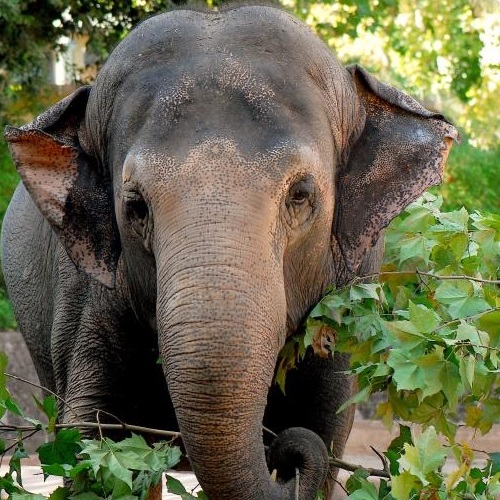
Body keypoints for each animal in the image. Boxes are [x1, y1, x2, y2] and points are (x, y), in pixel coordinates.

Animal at [2, 4, 458, 500]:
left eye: (301, 194)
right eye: (136, 206)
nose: (283, 454)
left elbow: (325, 425)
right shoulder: (85, 294)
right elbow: (90, 437)